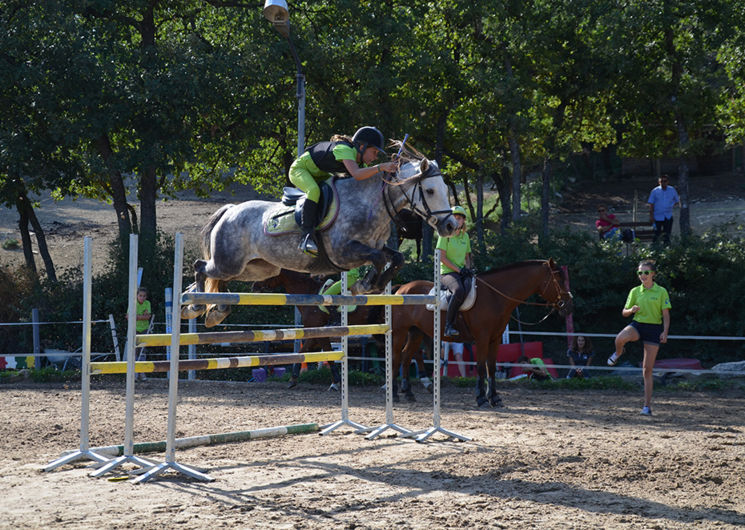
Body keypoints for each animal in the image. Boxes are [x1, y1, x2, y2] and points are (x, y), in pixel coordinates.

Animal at [183, 143, 456, 326]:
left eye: (444, 189)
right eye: (430, 191)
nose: (451, 226)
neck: (370, 202)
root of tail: (230, 210)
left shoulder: (373, 246)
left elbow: (396, 258)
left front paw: (372, 284)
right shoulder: (343, 252)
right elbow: (378, 259)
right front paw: (366, 284)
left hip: (258, 269)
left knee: (215, 278)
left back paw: (215, 309)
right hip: (229, 263)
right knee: (200, 266)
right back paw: (195, 305)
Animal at [392, 258, 572, 404]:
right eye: (559, 279)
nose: (569, 304)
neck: (495, 296)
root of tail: (402, 288)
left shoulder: (495, 338)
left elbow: (490, 367)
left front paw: (495, 398)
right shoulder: (482, 338)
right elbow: (480, 366)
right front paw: (481, 398)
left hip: (416, 332)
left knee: (406, 356)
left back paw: (408, 393)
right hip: (400, 332)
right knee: (396, 357)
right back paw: (394, 394)